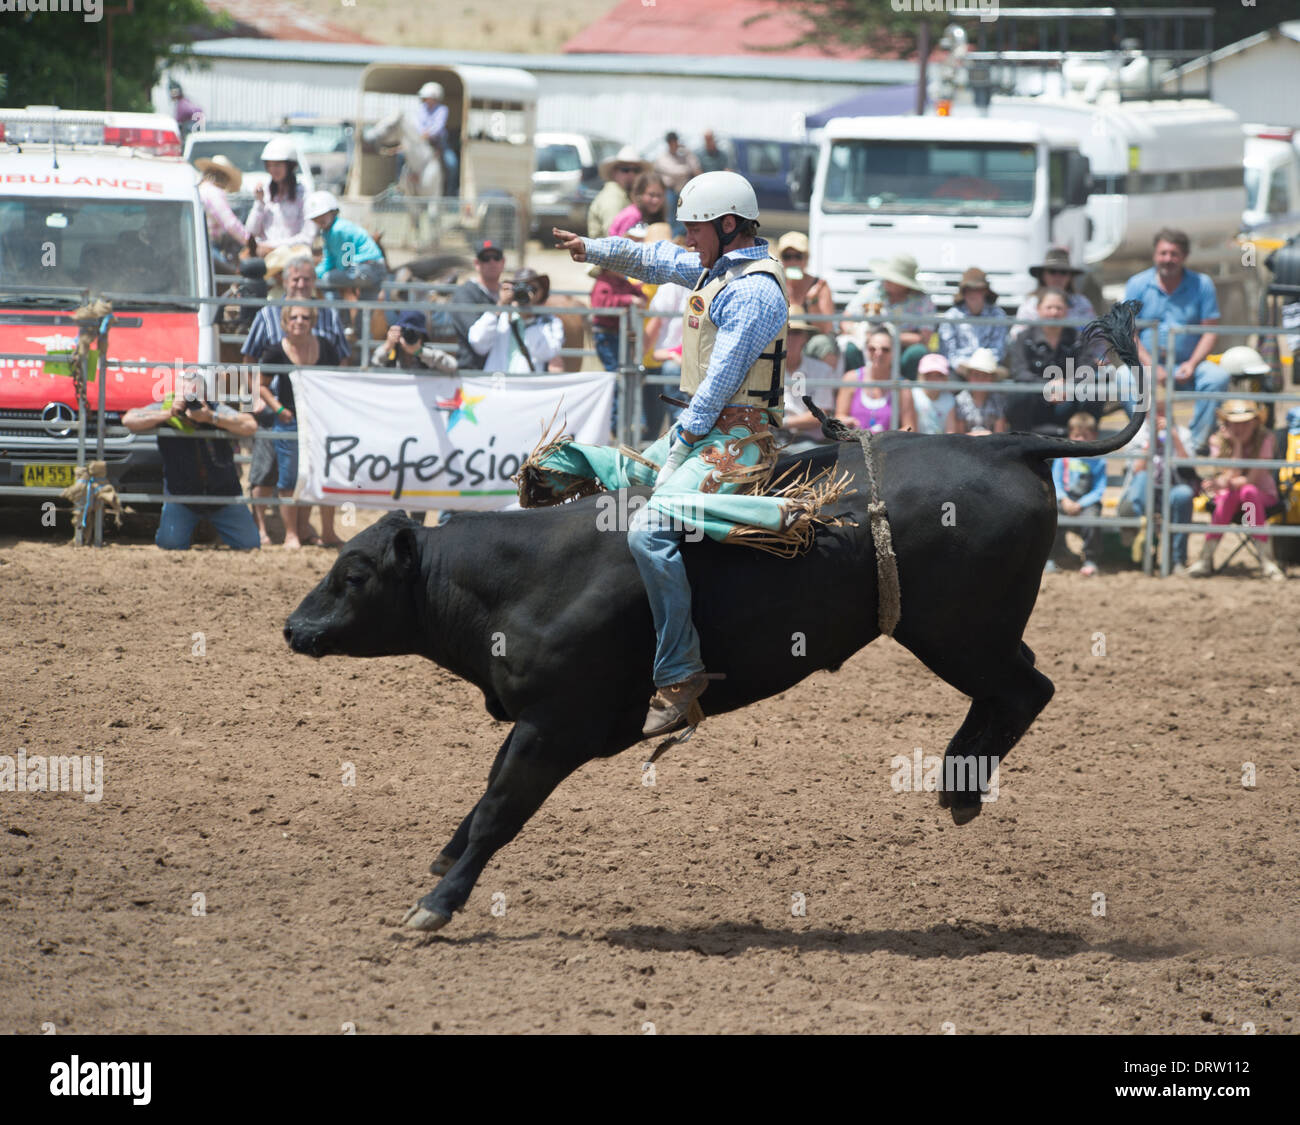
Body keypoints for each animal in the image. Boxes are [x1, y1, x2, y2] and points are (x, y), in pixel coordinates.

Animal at [287, 299, 1149, 931]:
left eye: (354, 573)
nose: (294, 627)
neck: (523, 579)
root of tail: (1008, 446)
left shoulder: (557, 723)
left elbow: (502, 805)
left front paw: (434, 904)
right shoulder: (534, 721)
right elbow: (485, 796)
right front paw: (442, 862)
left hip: (960, 632)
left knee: (1026, 690)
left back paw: (961, 785)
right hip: (968, 632)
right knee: (1017, 689)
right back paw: (959, 781)